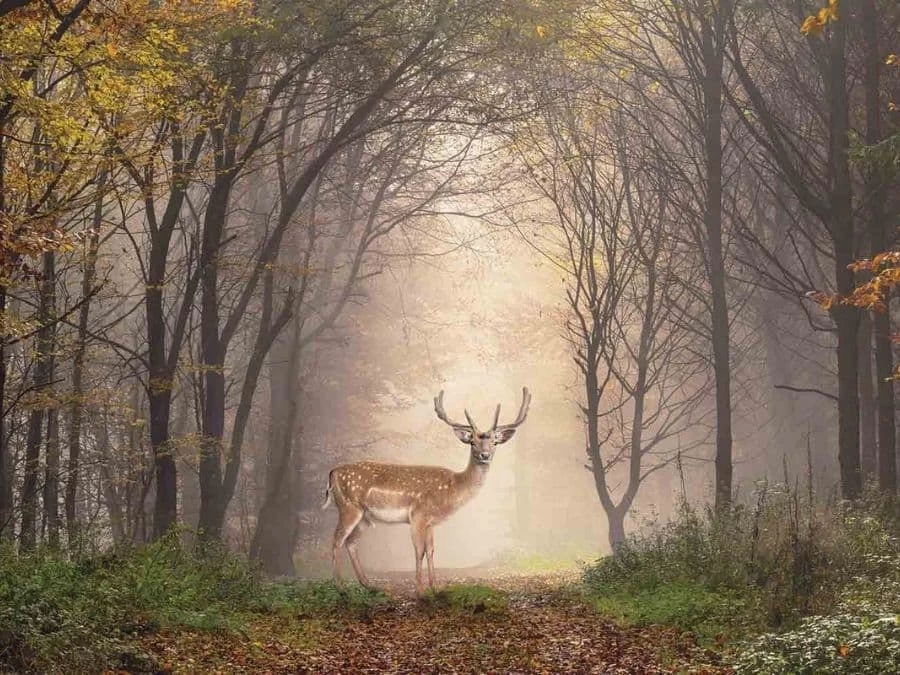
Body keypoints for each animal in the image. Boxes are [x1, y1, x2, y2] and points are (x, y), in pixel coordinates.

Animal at [321, 387, 531, 597]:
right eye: (472, 442)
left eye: (495, 442)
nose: (485, 455)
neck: (452, 489)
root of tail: (332, 472)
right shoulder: (418, 515)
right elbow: (419, 551)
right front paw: (420, 591)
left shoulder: (430, 522)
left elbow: (430, 550)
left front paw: (436, 588)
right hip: (349, 506)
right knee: (336, 540)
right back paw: (340, 587)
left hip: (365, 517)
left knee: (351, 542)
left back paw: (370, 585)